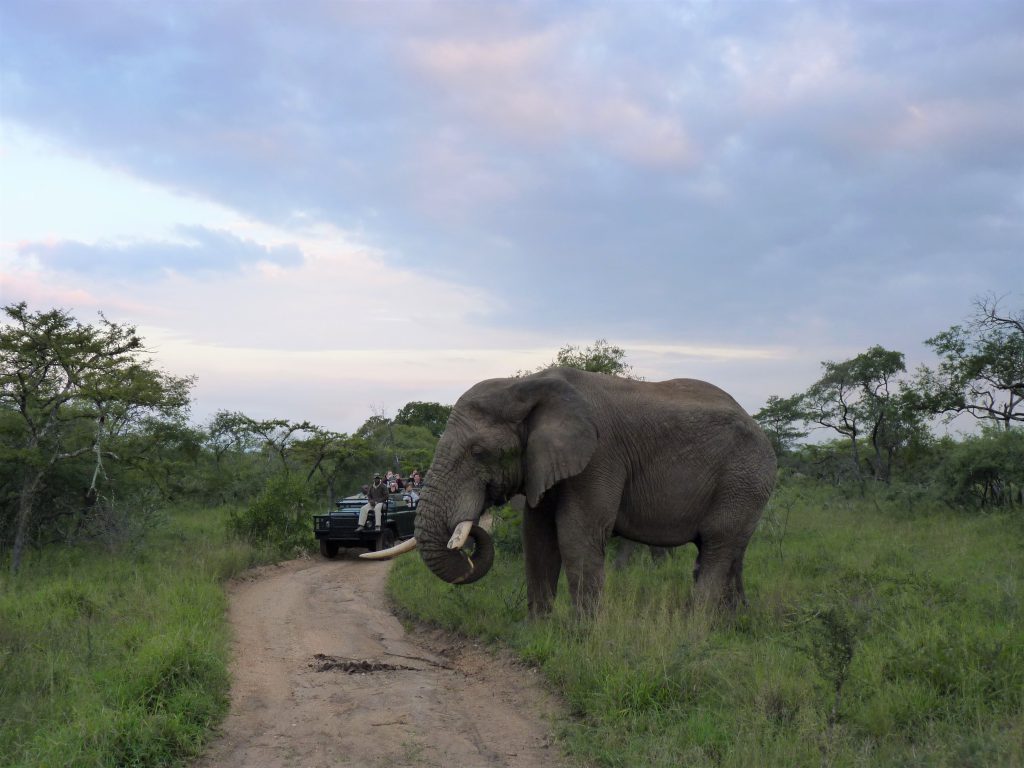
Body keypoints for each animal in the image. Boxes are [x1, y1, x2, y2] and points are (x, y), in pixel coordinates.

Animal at [366, 368, 774, 618]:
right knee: (729, 551)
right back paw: (732, 624)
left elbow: (577, 534)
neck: (527, 384)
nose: (470, 531)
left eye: (478, 452)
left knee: (718, 547)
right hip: (745, 485)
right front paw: (538, 630)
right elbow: (537, 536)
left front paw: (581, 638)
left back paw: (696, 628)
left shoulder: (599, 456)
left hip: (744, 478)